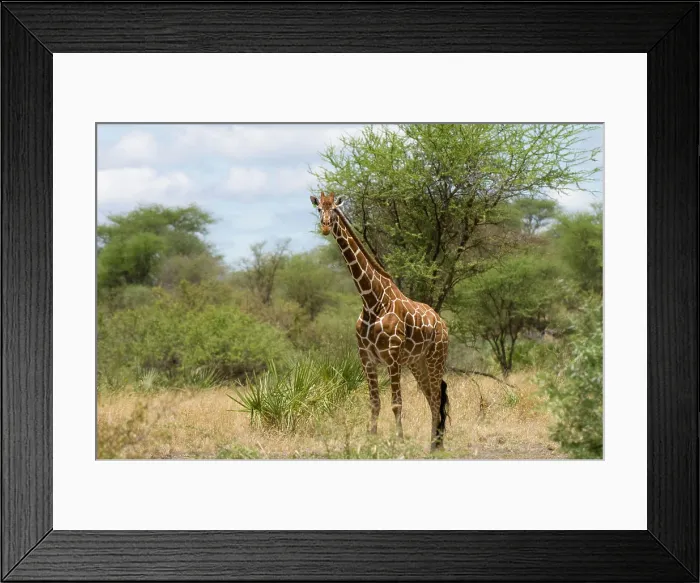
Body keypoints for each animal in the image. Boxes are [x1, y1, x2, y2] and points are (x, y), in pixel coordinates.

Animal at [310, 192, 450, 451]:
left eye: (334, 209)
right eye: (319, 209)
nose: (324, 226)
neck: (371, 300)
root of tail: (442, 323)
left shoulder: (392, 357)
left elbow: (396, 402)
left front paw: (399, 439)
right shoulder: (366, 358)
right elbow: (374, 401)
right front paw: (371, 438)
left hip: (436, 356)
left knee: (437, 397)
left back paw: (434, 445)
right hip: (417, 362)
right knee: (431, 396)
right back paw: (435, 442)